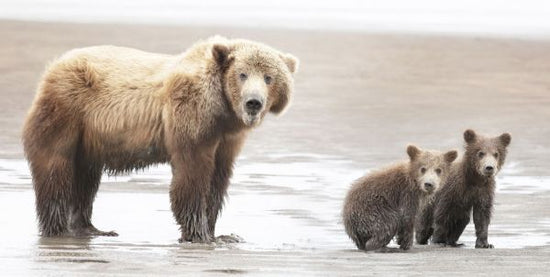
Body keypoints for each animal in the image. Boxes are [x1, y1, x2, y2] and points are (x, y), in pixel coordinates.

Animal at [21, 36, 300, 242]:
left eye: (269, 77)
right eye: (242, 74)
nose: (253, 102)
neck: (223, 110)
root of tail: (54, 66)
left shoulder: (228, 138)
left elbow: (218, 179)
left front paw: (221, 234)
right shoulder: (191, 114)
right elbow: (193, 173)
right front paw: (199, 234)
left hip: (88, 139)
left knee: (85, 179)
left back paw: (91, 228)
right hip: (67, 110)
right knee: (56, 169)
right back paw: (59, 229)